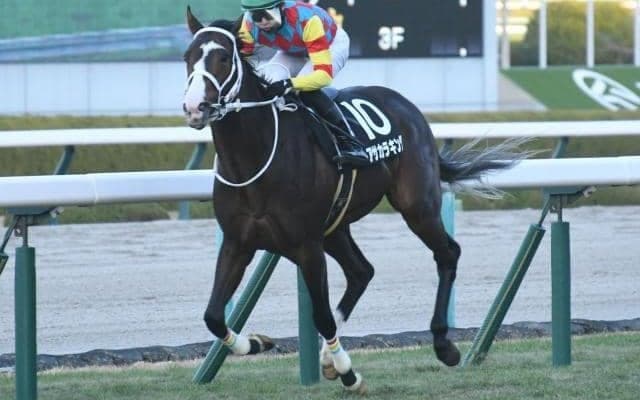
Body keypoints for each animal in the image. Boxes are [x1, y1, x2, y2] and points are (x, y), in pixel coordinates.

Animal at [182, 9, 524, 393]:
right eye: (188, 57)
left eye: (224, 58)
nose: (195, 107)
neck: (255, 157)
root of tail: (408, 107)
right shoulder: (237, 242)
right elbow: (213, 315)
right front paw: (257, 343)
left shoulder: (306, 245)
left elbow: (321, 315)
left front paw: (349, 372)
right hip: (335, 225)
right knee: (361, 271)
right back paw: (328, 358)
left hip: (416, 206)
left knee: (447, 253)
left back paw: (442, 344)